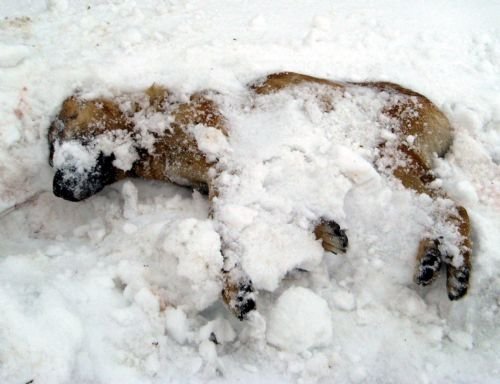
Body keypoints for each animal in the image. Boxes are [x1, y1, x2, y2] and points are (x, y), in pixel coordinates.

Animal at [47, 71, 472, 318]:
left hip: (389, 158)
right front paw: (322, 232)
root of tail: (437, 110)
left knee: (456, 208)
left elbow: (225, 227)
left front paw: (236, 286)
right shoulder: (232, 176)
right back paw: (433, 258)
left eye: (61, 134)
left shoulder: (229, 165)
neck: (157, 127)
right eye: (51, 151)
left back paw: (454, 266)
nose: (57, 189)